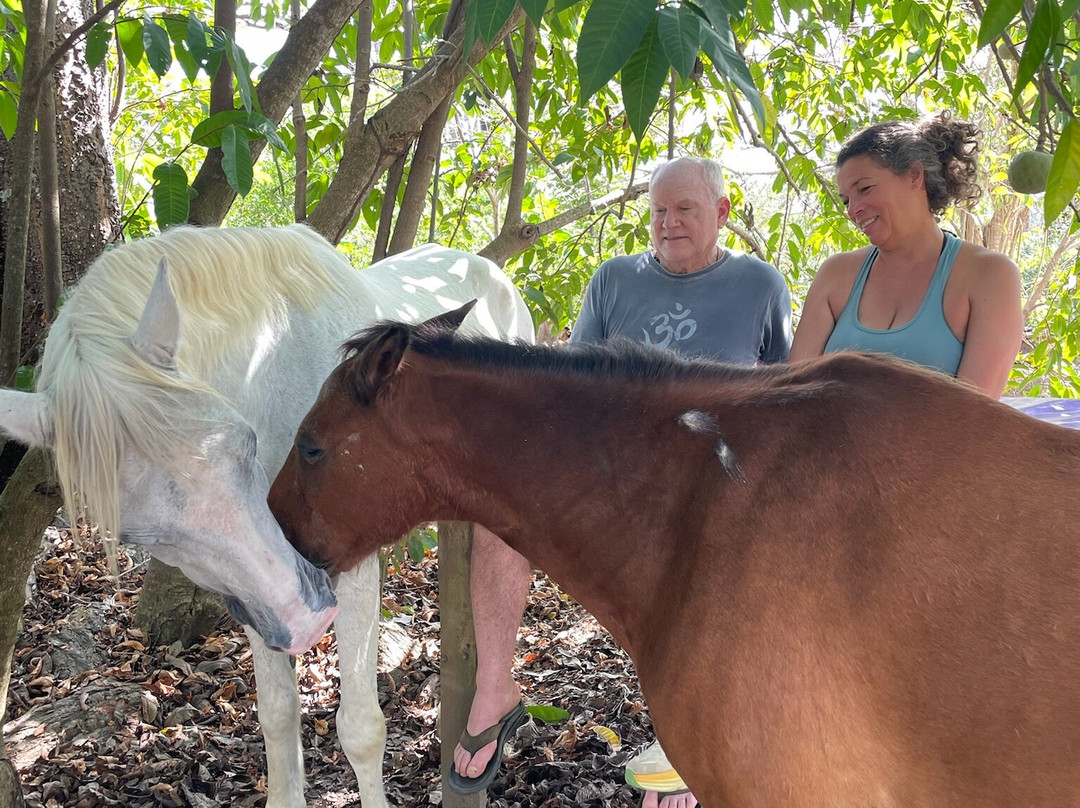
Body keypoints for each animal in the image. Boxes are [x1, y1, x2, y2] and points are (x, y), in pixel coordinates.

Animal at [0, 231, 533, 808]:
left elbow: (360, 728)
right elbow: (278, 719)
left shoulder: (346, 571)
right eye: (138, 532)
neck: (271, 362)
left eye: (243, 442)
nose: (307, 619)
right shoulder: (260, 598)